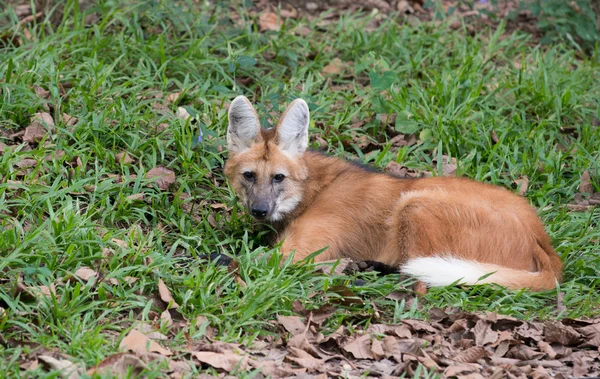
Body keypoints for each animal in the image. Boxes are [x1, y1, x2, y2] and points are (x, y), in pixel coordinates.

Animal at [224, 95, 564, 290]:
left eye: (278, 177)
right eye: (249, 176)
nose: (260, 210)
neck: (313, 190)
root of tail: (542, 241)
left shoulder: (298, 252)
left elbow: (238, 258)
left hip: (414, 203)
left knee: (418, 277)